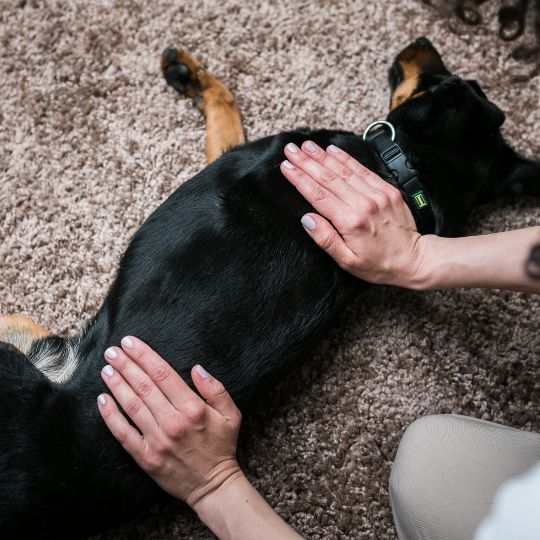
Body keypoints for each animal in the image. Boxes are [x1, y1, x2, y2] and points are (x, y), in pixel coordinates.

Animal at [0, 35, 536, 536]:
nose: (421, 40)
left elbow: (226, 106)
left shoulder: (243, 152)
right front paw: (189, 73)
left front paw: (191, 76)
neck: (400, 169)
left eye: (438, 77)